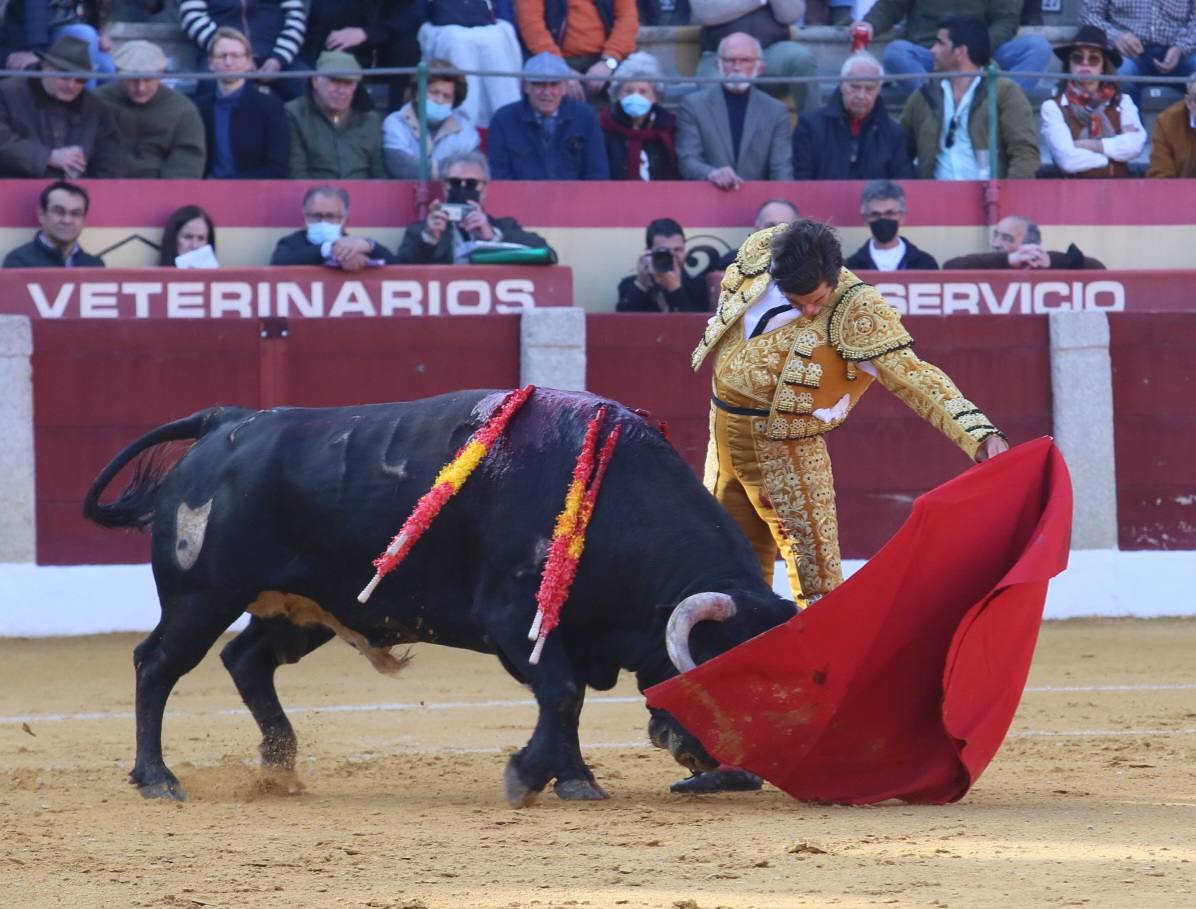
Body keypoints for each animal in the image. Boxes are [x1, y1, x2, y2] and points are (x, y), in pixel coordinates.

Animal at [81, 389, 794, 803]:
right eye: (716, 675)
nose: (728, 765)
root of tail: (225, 422)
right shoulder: (514, 620)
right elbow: (562, 693)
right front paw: (535, 778)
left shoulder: (558, 631)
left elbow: (566, 700)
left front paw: (572, 780)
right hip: (201, 596)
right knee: (158, 665)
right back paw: (158, 779)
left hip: (305, 608)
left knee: (247, 660)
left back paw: (280, 767)